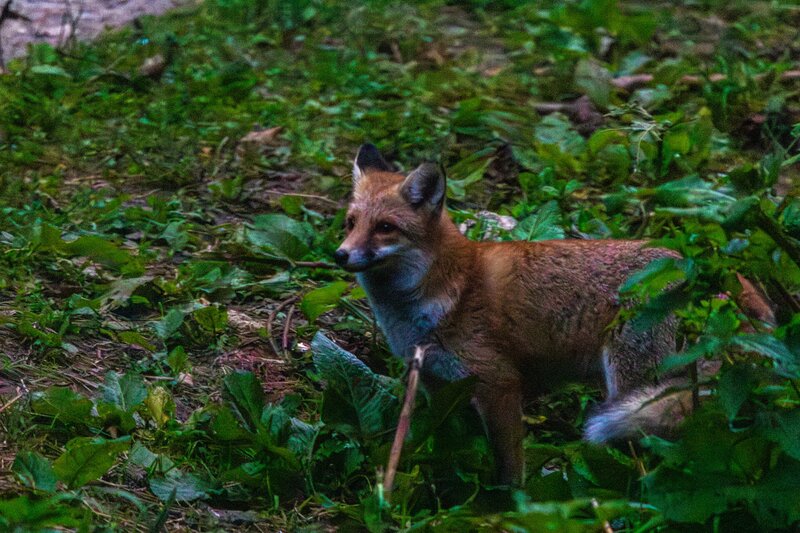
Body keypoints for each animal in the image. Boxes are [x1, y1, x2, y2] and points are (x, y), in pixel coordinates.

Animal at [334, 143, 775, 486]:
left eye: (385, 228)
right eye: (351, 223)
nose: (340, 254)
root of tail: (706, 266)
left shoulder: (498, 384)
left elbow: (510, 471)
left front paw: (507, 508)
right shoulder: (437, 386)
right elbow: (447, 447)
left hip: (636, 382)